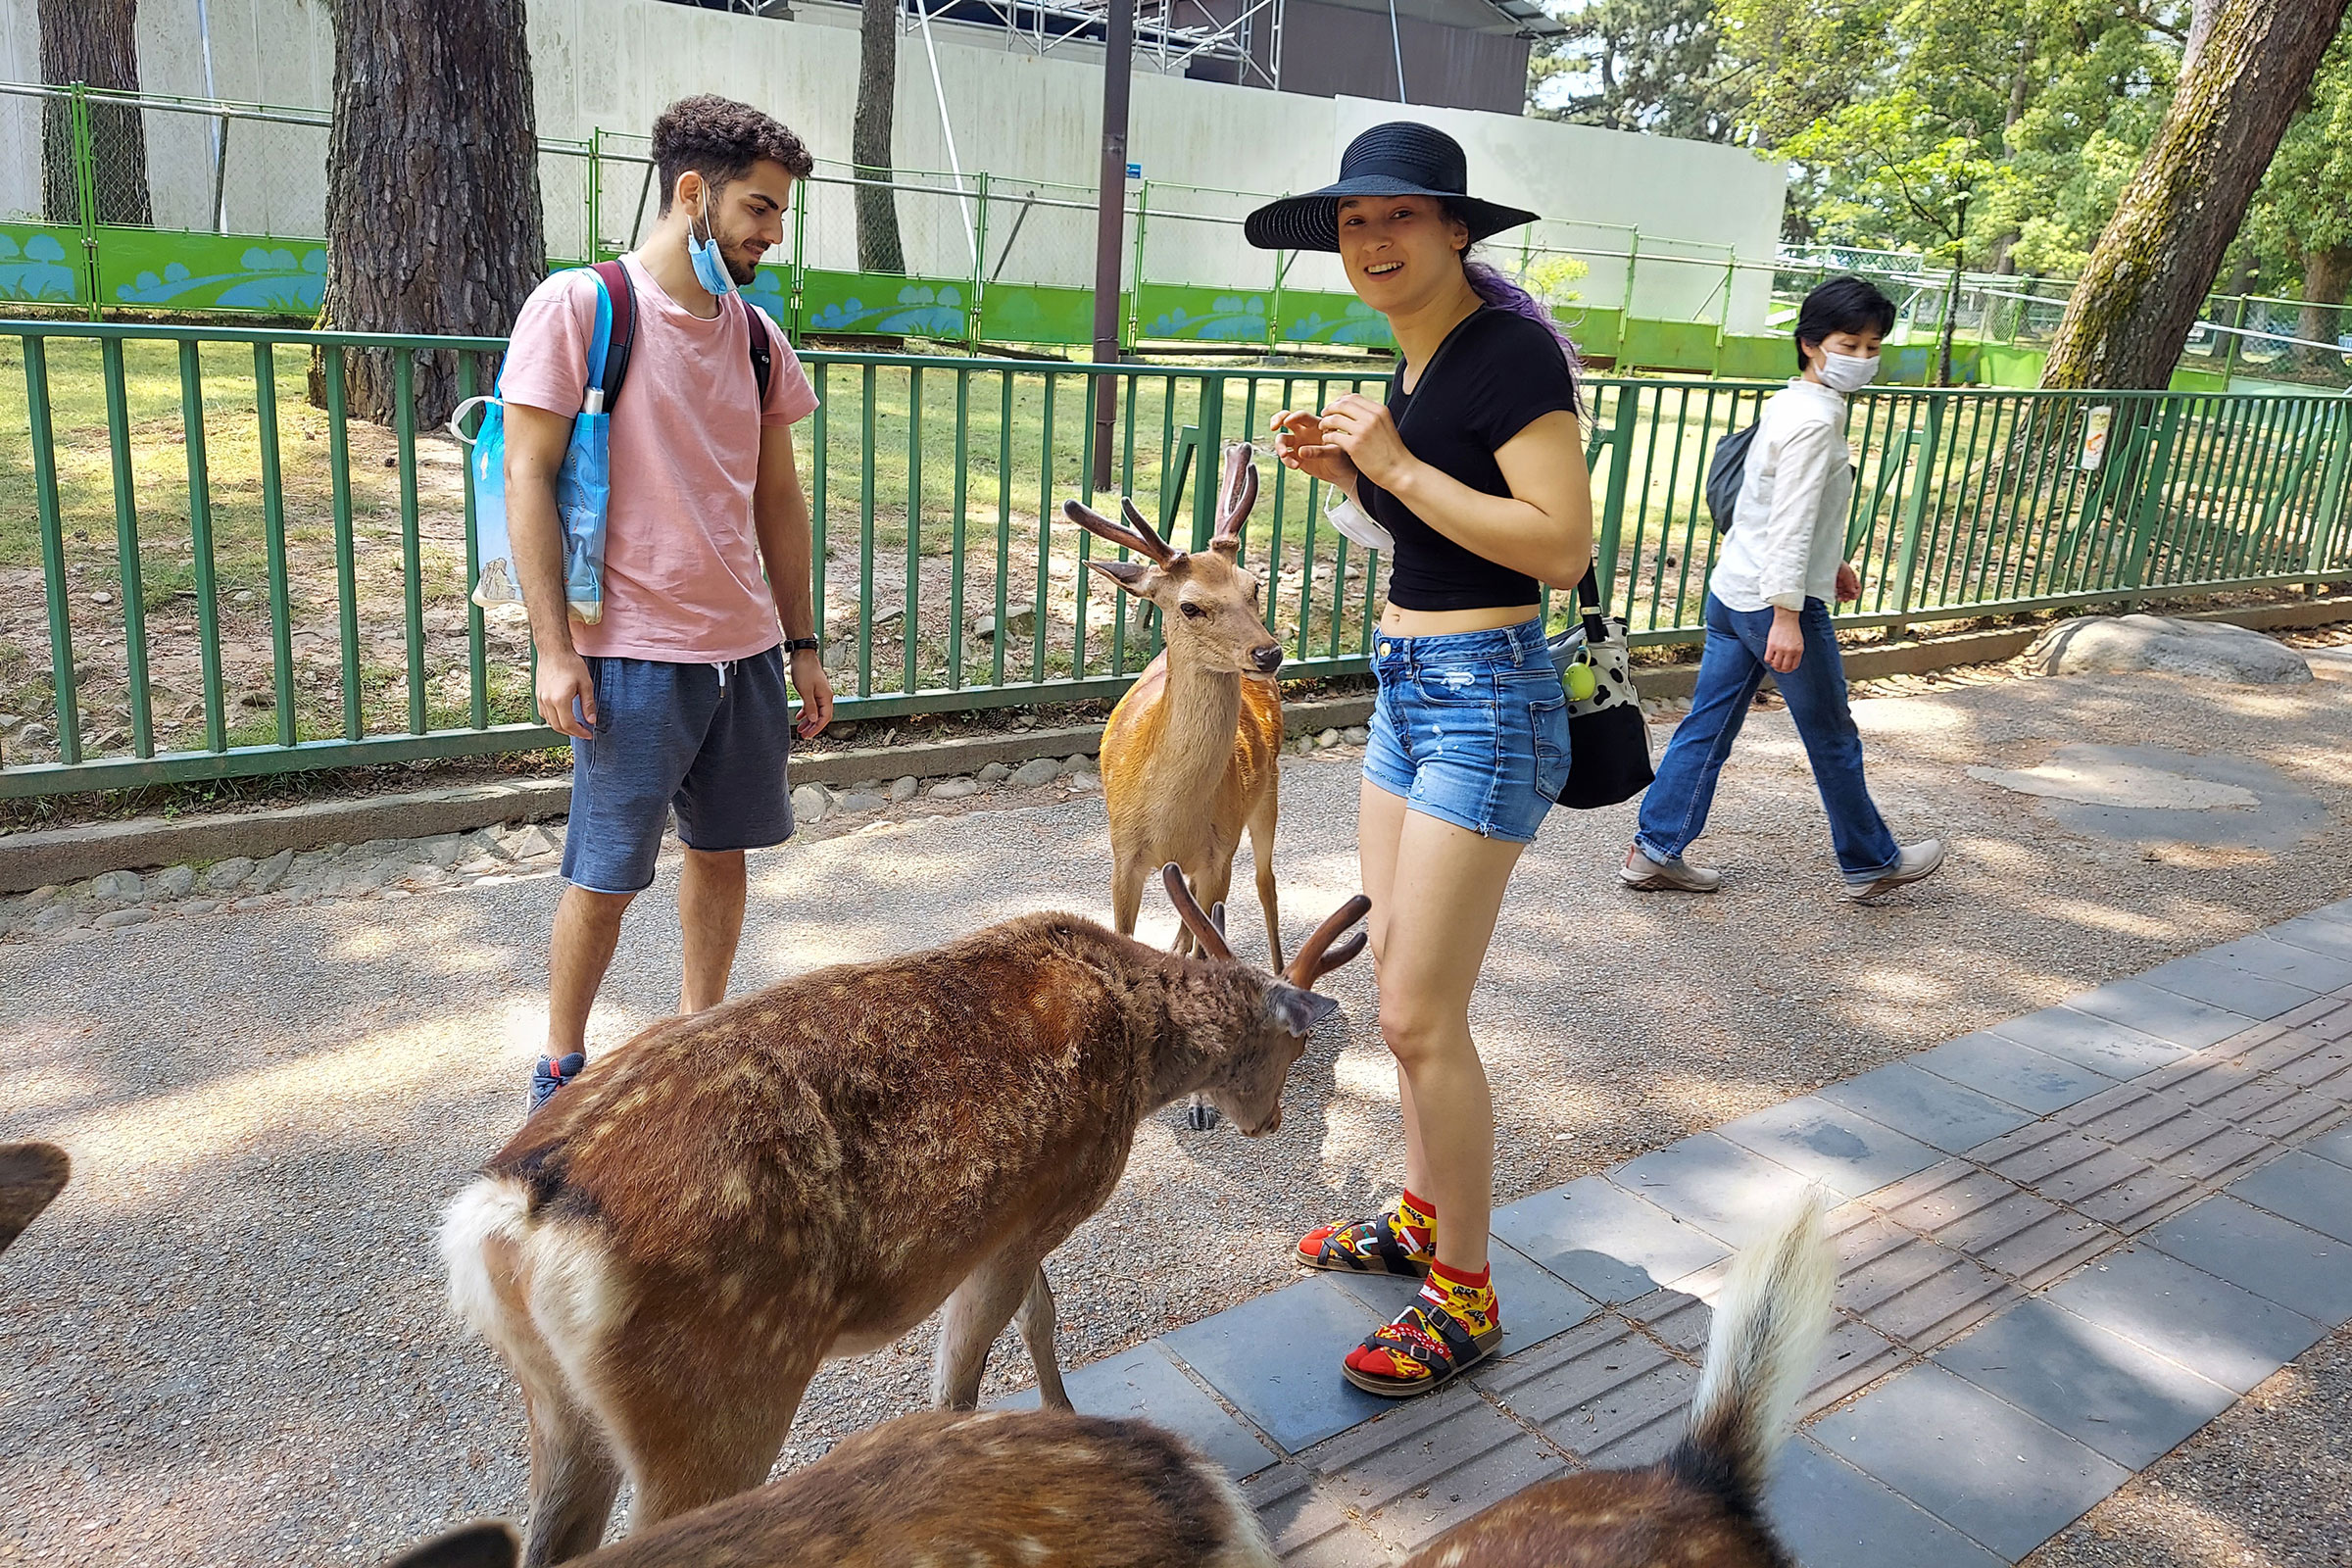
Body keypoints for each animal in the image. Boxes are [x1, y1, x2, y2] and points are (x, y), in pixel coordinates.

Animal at [438, 865, 1369, 1566]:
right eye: (1292, 1045)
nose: (1270, 1121)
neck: (1141, 1054)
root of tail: (512, 1211)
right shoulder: (1041, 1210)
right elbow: (962, 1381)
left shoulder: (1019, 1220)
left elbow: (1042, 1317)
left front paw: (1065, 1418)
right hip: (716, 1394)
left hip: (558, 1403)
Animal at [1065, 443, 1287, 1131]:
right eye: (1190, 605)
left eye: (1255, 585)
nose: (1268, 653)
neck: (1170, 813)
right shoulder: (1123, 854)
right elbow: (1129, 938)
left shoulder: (1217, 856)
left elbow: (1211, 944)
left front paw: (1201, 1105)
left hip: (1265, 802)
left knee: (1266, 886)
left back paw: (1280, 971)